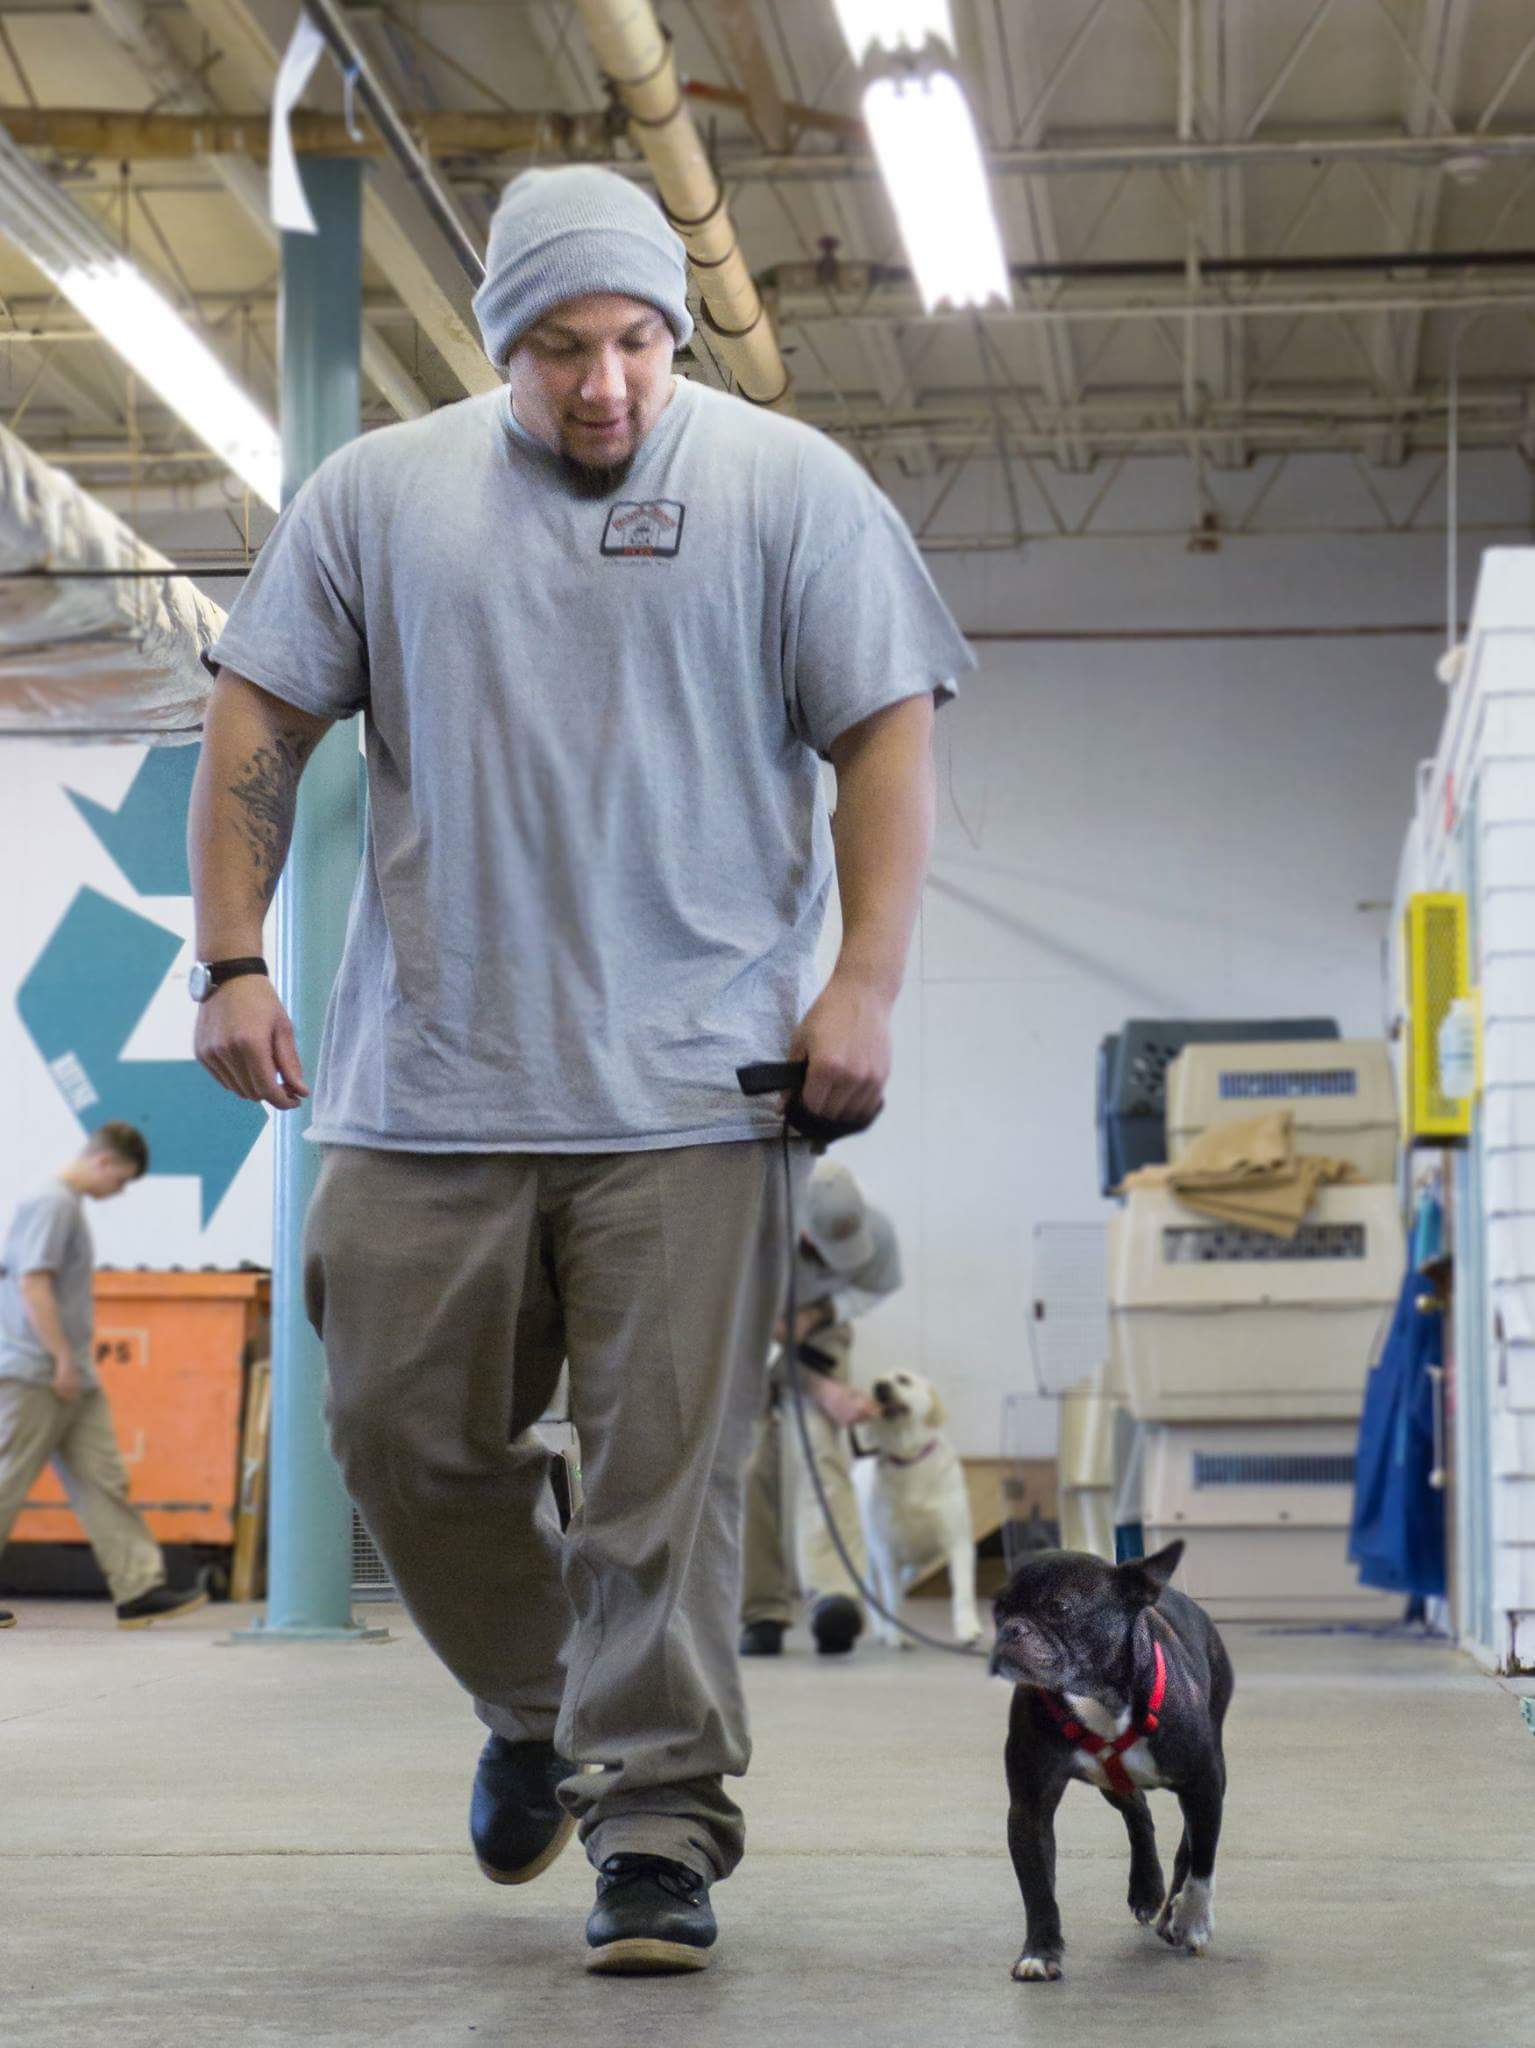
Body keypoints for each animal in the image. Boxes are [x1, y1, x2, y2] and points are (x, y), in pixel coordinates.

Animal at [859, 1376, 978, 1646]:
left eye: (903, 1379)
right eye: (874, 1384)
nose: (880, 1387)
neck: (908, 1458)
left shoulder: (958, 1542)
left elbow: (963, 1592)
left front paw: (968, 1629)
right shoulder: (886, 1551)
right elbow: (891, 1597)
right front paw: (895, 1634)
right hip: (867, 1553)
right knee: (874, 1592)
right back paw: (882, 1629)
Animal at [998, 1540, 1236, 1974]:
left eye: (1060, 1607)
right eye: (998, 1610)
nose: (1011, 1628)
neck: (1096, 1694)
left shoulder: (1204, 1783)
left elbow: (1201, 1859)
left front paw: (1193, 1920)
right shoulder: (1029, 1807)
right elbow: (1037, 1886)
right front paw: (1040, 1952)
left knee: (1186, 1845)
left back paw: (1172, 1915)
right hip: (1111, 1782)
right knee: (1138, 1812)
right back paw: (1146, 1888)